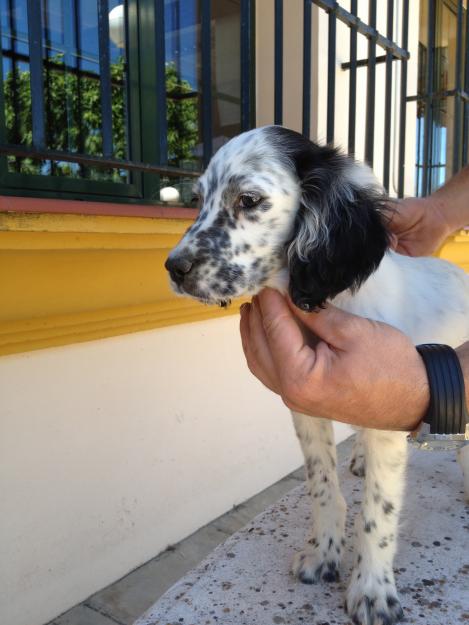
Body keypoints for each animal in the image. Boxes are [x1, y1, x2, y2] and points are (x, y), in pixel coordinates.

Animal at [165, 125, 468, 624]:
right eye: (198, 199)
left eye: (249, 200)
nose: (174, 268)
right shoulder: (305, 404)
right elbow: (322, 485)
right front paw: (324, 553)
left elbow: (379, 512)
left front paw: (372, 588)